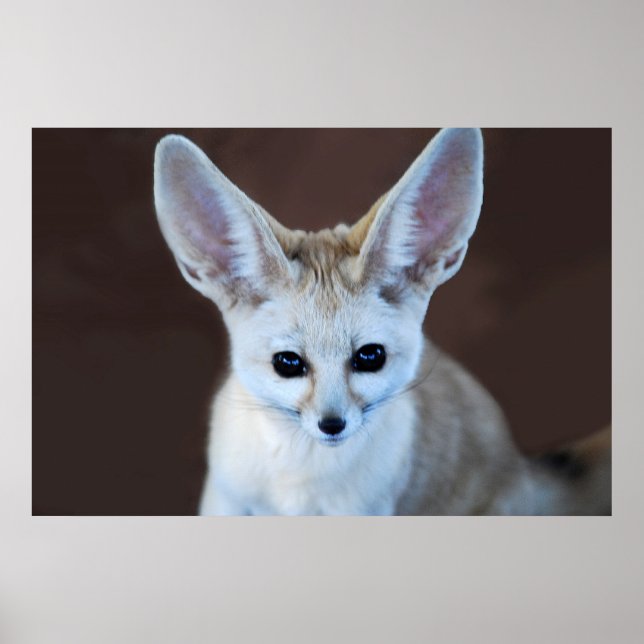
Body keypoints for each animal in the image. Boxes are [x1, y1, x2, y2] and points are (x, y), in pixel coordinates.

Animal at [153, 128, 611, 516]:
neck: (298, 485)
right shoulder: (225, 502)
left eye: (370, 357)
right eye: (287, 363)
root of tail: (523, 467)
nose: (332, 425)